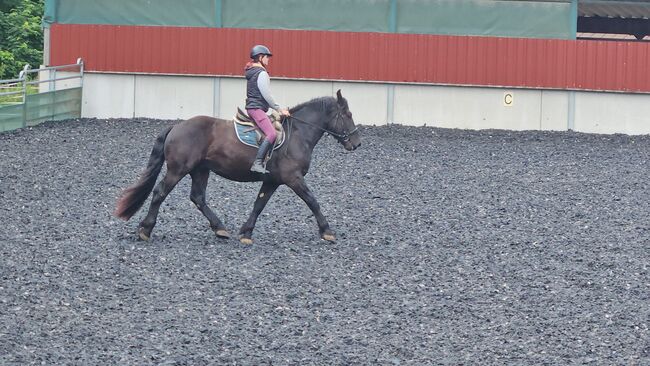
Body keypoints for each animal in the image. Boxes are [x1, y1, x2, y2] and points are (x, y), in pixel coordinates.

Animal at [114, 89, 362, 244]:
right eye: (348, 114)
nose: (357, 143)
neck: (298, 134)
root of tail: (177, 126)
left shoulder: (273, 180)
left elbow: (259, 204)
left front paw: (246, 232)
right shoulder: (293, 178)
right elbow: (312, 201)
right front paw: (327, 231)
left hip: (200, 170)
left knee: (198, 197)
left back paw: (220, 228)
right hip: (178, 170)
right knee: (159, 193)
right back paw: (145, 229)